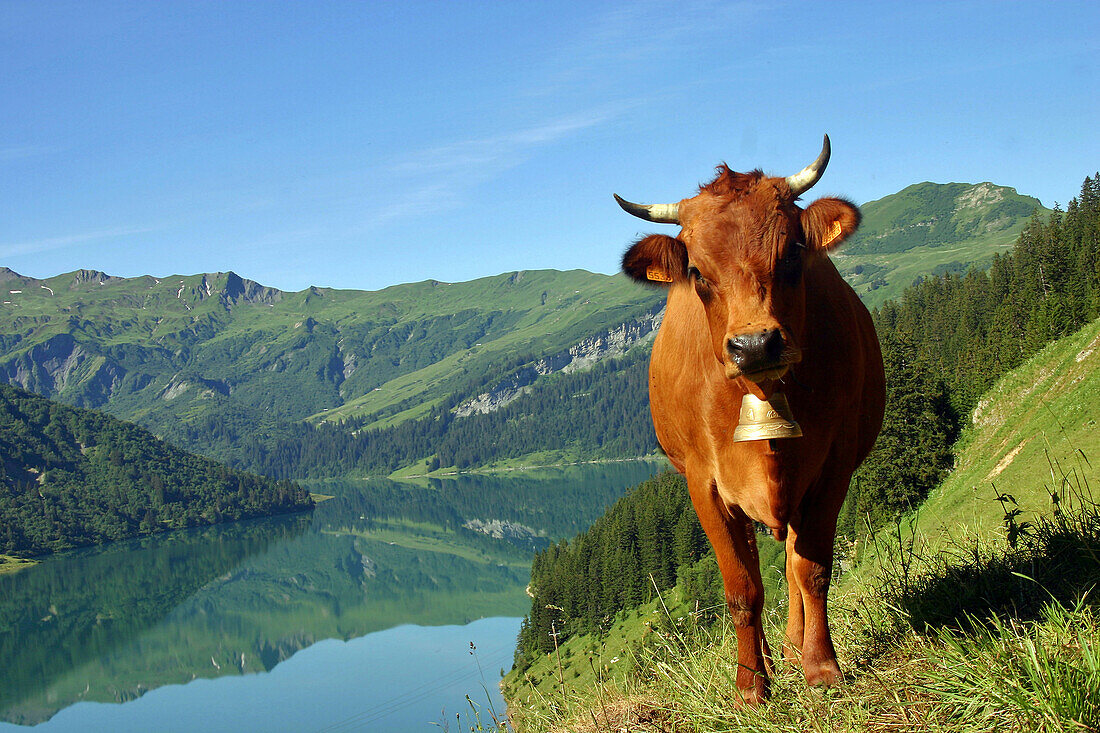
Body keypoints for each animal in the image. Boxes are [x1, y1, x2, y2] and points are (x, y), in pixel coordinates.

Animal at [620, 134, 884, 699]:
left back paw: (791, 649)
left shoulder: (832, 467)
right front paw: (749, 686)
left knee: (790, 567)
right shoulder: (703, 484)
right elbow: (742, 588)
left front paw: (820, 667)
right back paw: (765, 658)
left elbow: (812, 571)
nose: (756, 344)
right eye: (697, 272)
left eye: (793, 253)